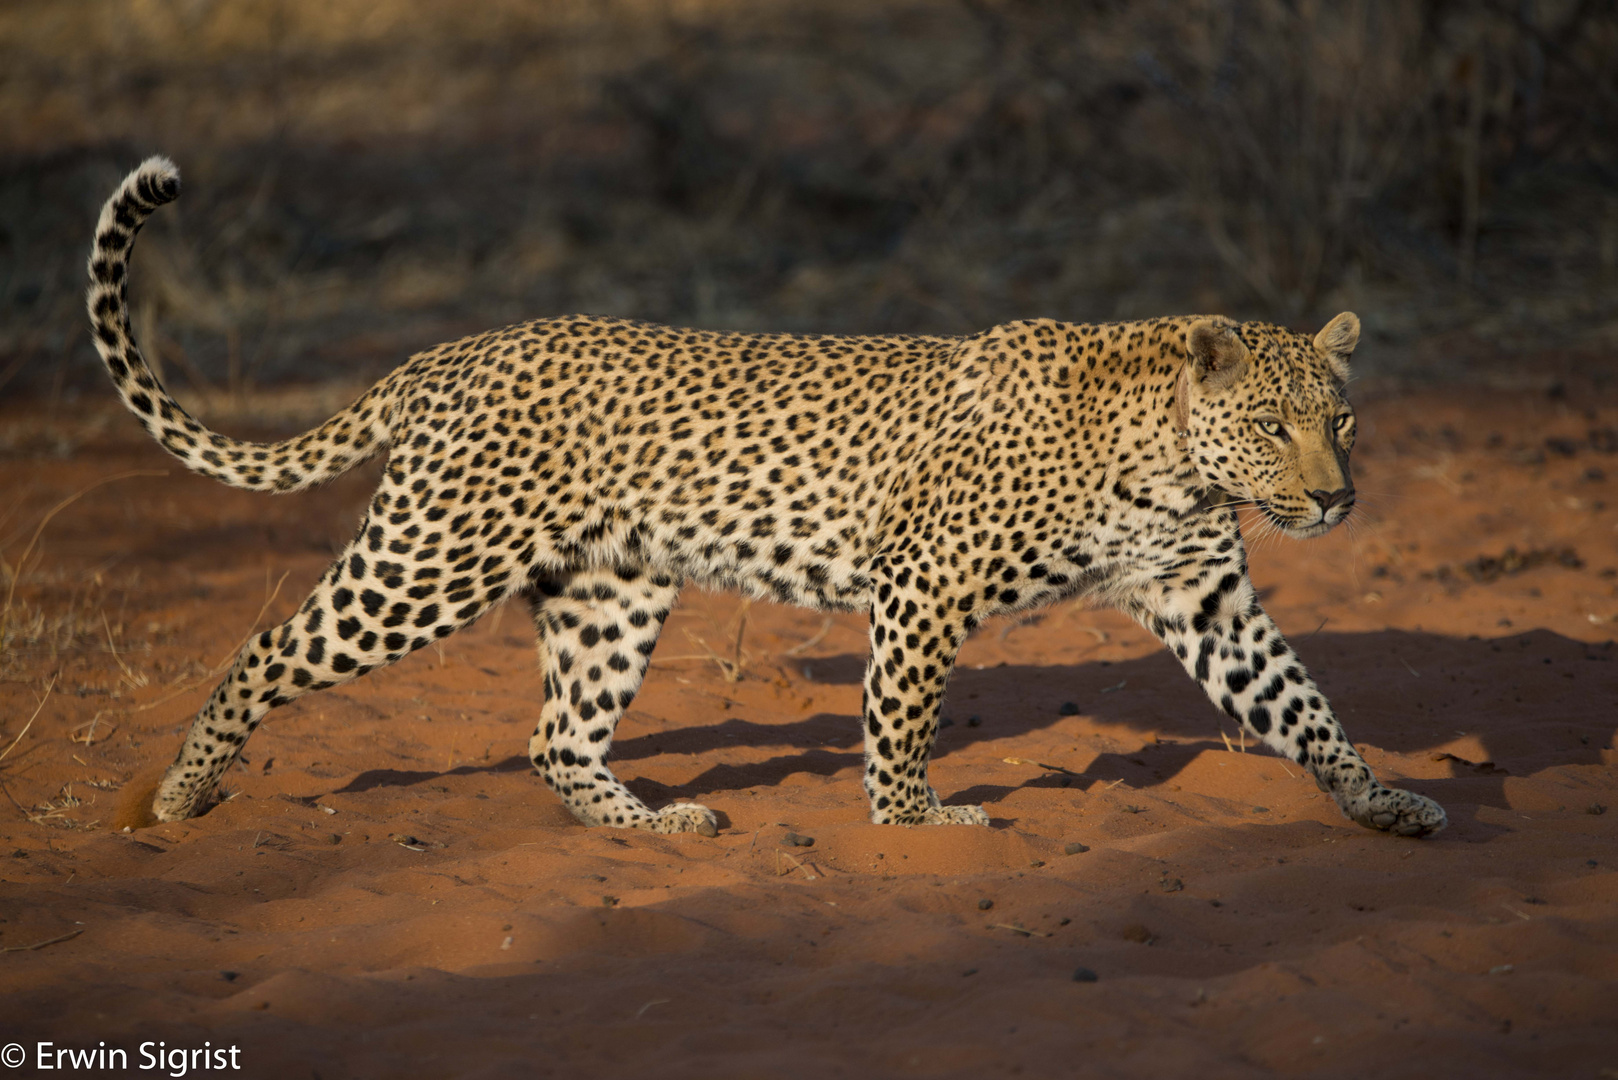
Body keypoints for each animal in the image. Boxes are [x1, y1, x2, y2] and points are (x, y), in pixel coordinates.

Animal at [85, 156, 1456, 841]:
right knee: (268, 644)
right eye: (1272, 425)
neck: (1169, 463)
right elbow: (901, 716)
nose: (1333, 500)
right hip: (431, 560)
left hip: (608, 592)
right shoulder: (924, 584)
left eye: (1338, 421)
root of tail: (455, 351)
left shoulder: (1204, 600)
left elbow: (1304, 708)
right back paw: (179, 797)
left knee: (555, 737)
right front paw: (911, 821)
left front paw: (1382, 800)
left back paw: (650, 825)